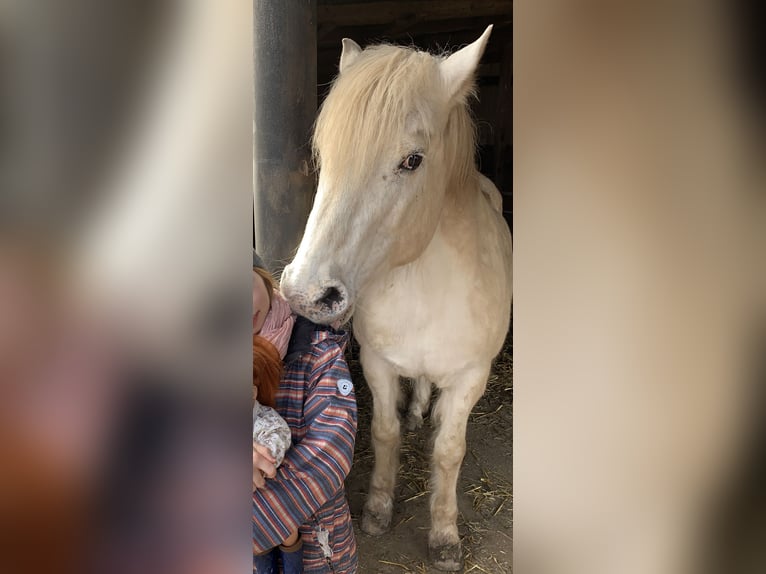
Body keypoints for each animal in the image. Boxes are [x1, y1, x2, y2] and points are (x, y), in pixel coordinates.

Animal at [280, 26, 512, 571]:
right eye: (325, 155)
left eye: (412, 160)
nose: (307, 294)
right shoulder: (377, 363)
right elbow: (384, 432)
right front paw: (378, 509)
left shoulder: (471, 378)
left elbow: (449, 451)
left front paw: (445, 536)